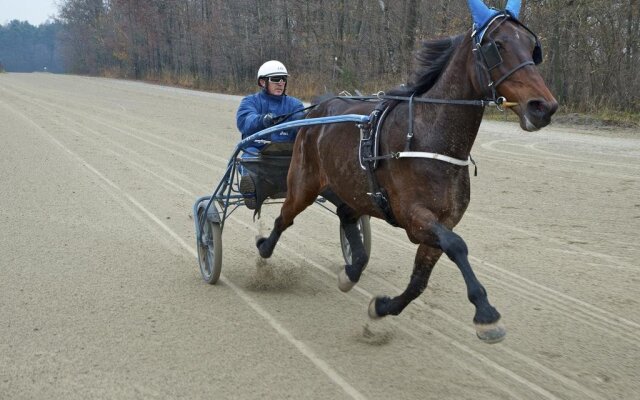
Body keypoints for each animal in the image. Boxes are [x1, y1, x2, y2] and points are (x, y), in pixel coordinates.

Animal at [258, 0, 556, 344]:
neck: (430, 136)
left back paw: (352, 270)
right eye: (497, 45)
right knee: (285, 217)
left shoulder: (444, 220)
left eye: (533, 47)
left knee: (346, 215)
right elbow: (457, 245)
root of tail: (317, 108)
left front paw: (381, 308)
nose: (543, 107)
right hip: (304, 183)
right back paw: (264, 250)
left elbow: (419, 281)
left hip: (353, 188)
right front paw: (486, 313)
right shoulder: (414, 216)